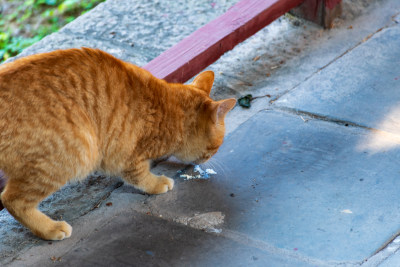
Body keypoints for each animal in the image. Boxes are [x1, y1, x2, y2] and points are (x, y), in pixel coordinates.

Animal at [0, 47, 236, 241]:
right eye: (215, 148)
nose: (209, 159)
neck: (170, 110)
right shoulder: (126, 153)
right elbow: (140, 175)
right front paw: (156, 183)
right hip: (74, 155)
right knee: (11, 200)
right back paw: (50, 229)